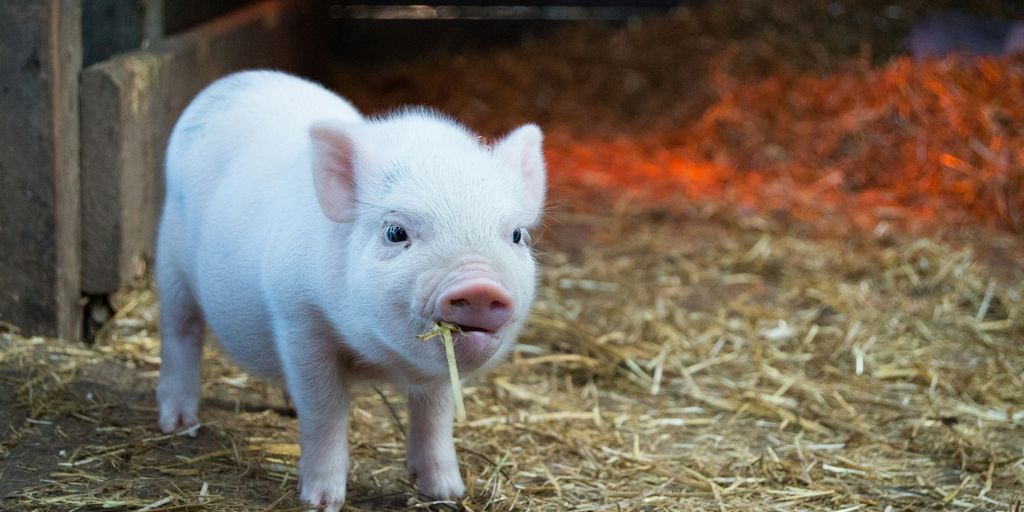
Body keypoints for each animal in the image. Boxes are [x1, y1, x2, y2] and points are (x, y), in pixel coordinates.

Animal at [155, 70, 546, 510]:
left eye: (517, 235)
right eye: (396, 232)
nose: (479, 284)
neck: (378, 357)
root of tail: (233, 81)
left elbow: (435, 414)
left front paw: (447, 492)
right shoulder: (299, 318)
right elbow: (324, 410)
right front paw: (321, 501)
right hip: (170, 258)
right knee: (180, 330)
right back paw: (178, 424)